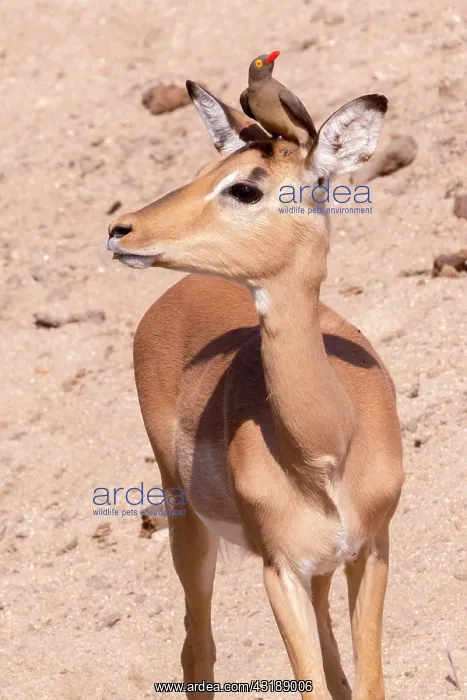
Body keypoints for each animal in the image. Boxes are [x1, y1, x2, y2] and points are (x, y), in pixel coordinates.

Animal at [107, 80, 404, 700]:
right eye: (206, 169)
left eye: (244, 187)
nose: (122, 230)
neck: (327, 449)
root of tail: (178, 293)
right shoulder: (280, 569)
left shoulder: (370, 550)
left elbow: (364, 683)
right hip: (187, 526)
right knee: (197, 649)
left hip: (319, 568)